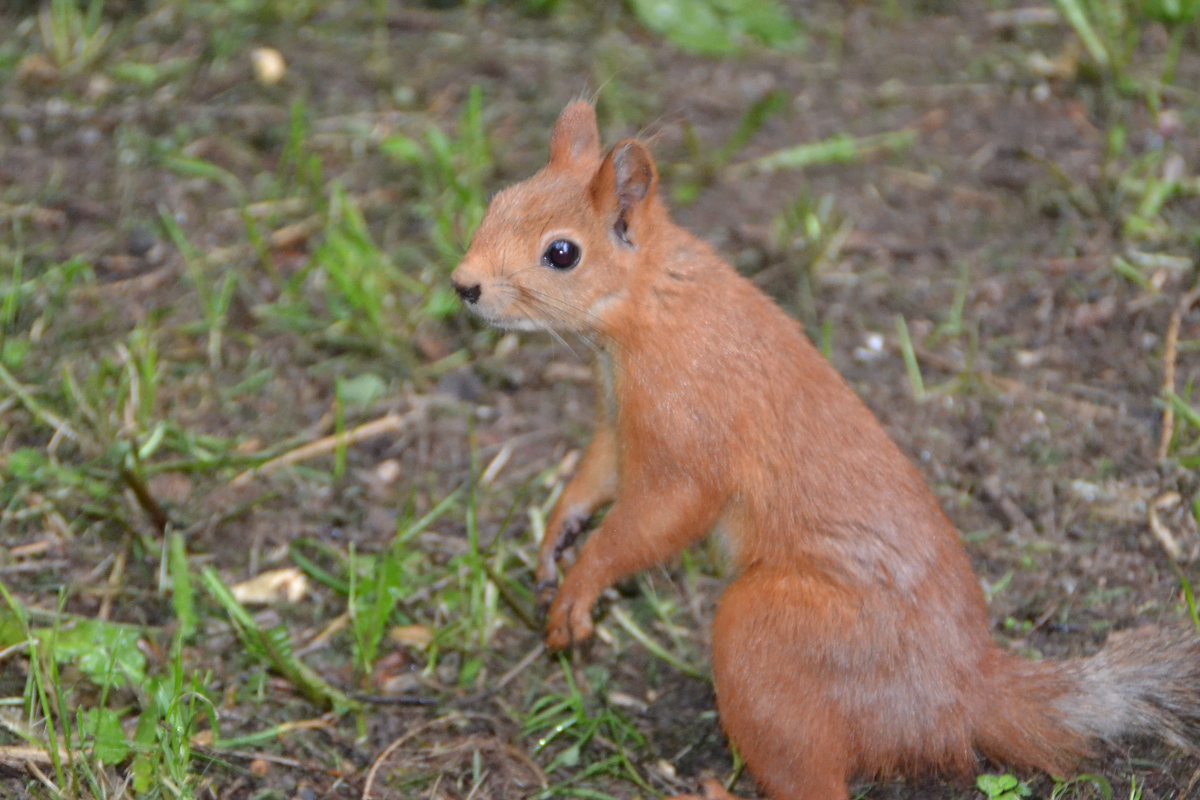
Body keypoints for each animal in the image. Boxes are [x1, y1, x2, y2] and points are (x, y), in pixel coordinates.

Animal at [451, 101, 1200, 800]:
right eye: (497, 201)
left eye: (562, 253)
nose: (463, 285)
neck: (653, 305)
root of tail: (960, 696)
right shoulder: (619, 425)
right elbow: (595, 473)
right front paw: (557, 537)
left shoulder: (689, 433)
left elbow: (657, 519)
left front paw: (583, 584)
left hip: (770, 635)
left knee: (809, 774)